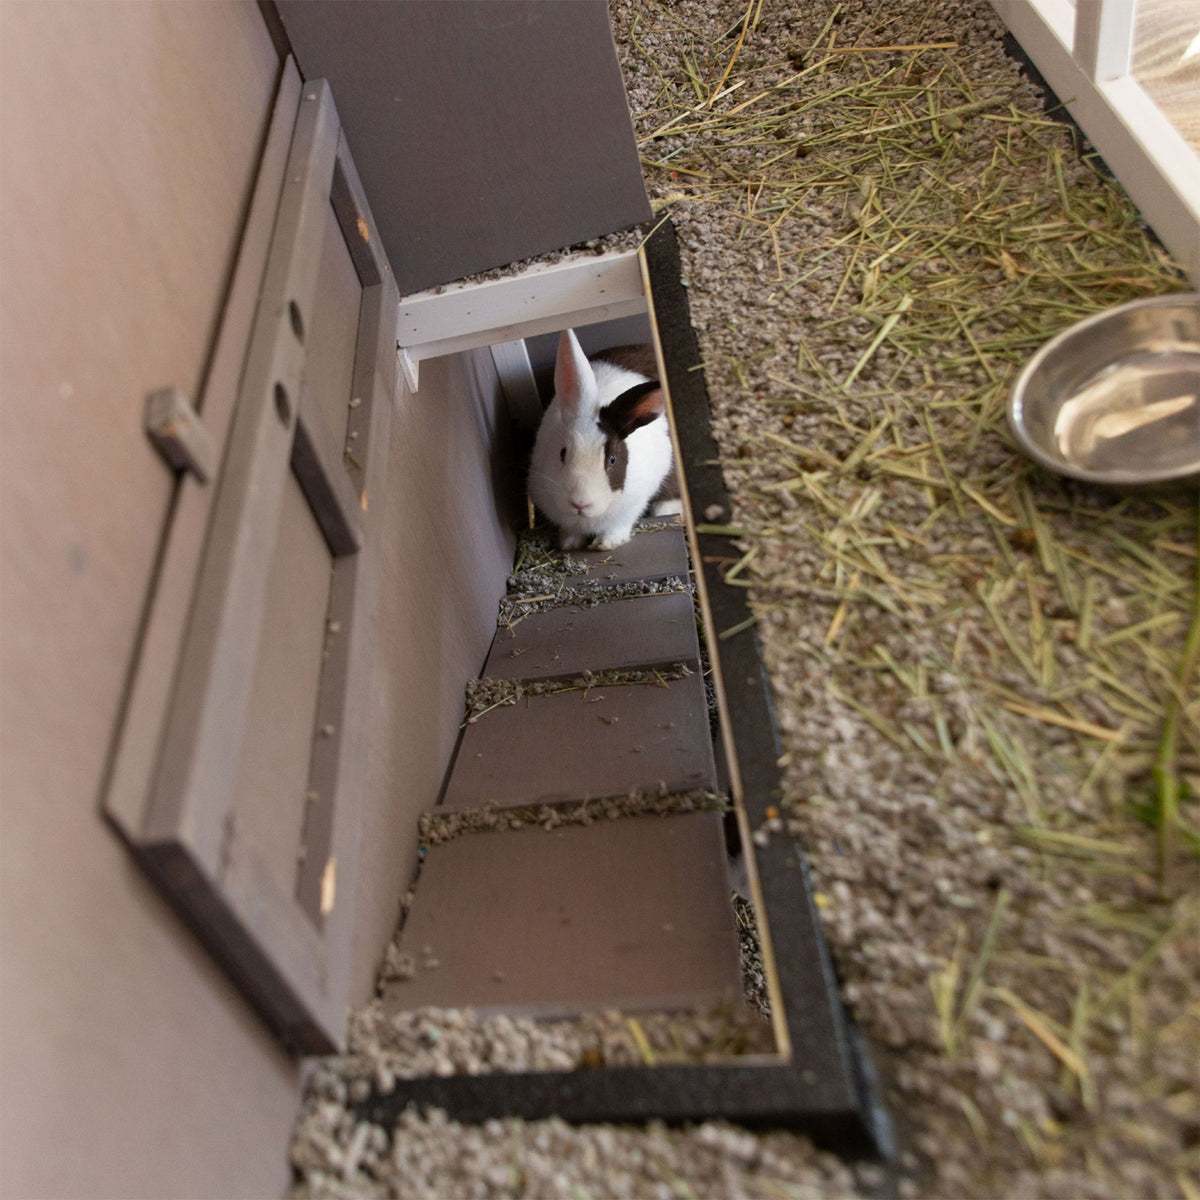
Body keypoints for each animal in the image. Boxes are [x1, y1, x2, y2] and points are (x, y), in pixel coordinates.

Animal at [528, 329, 680, 551]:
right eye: (562, 453)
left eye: (612, 460)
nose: (580, 503)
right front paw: (569, 543)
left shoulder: (634, 503)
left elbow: (620, 523)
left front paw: (607, 543)